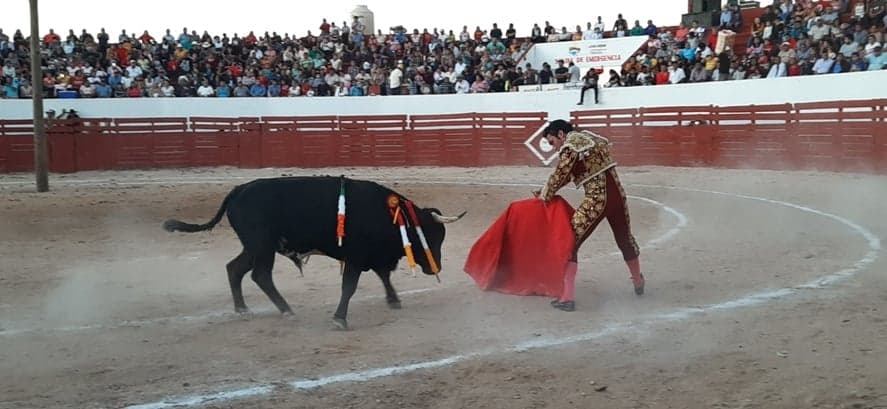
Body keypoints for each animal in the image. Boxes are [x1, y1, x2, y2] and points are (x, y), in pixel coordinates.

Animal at [162, 175, 464, 328]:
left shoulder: (372, 256)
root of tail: (237, 190)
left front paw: (393, 300)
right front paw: (339, 319)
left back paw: (243, 309)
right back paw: (285, 310)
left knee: (235, 269)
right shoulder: (355, 257)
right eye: (431, 237)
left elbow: (383, 276)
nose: (435, 268)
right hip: (262, 246)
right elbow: (350, 286)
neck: (390, 214)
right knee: (260, 275)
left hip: (255, 246)